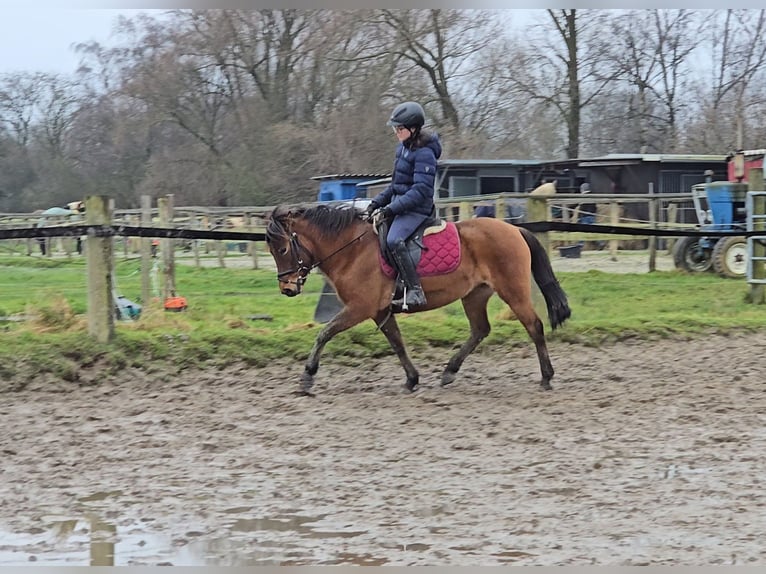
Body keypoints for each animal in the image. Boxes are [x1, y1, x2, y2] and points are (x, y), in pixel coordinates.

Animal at [264, 205, 568, 398]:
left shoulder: (359, 308)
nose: (286, 288)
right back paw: (449, 371)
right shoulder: (379, 311)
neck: (352, 250)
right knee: (480, 330)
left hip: (512, 291)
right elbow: (397, 343)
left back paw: (546, 376)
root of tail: (514, 230)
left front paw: (307, 376)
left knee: (534, 326)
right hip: (475, 294)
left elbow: (324, 334)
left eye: (283, 249)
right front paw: (411, 380)